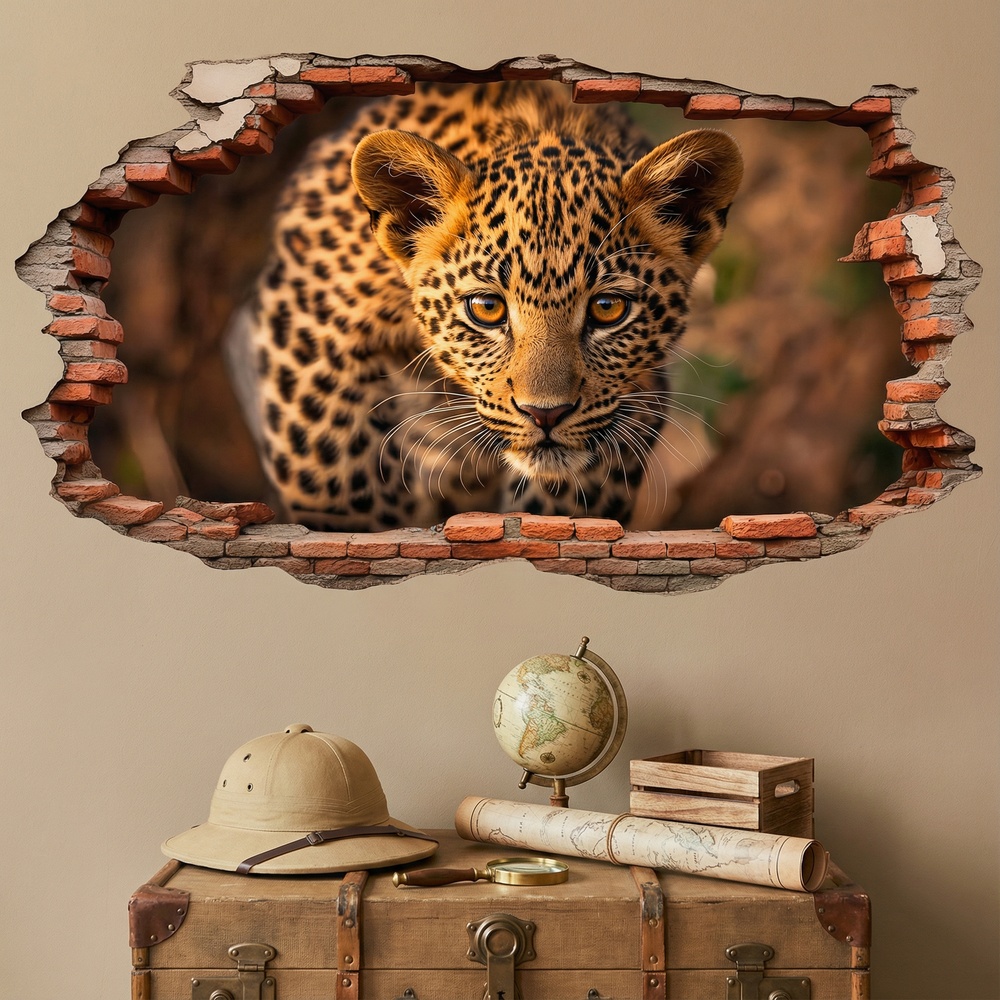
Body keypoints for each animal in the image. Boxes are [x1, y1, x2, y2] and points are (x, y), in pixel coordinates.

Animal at [231, 82, 742, 531]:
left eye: (607, 308)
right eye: (487, 308)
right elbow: (334, 472)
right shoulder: (307, 326)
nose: (546, 414)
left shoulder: (636, 395)